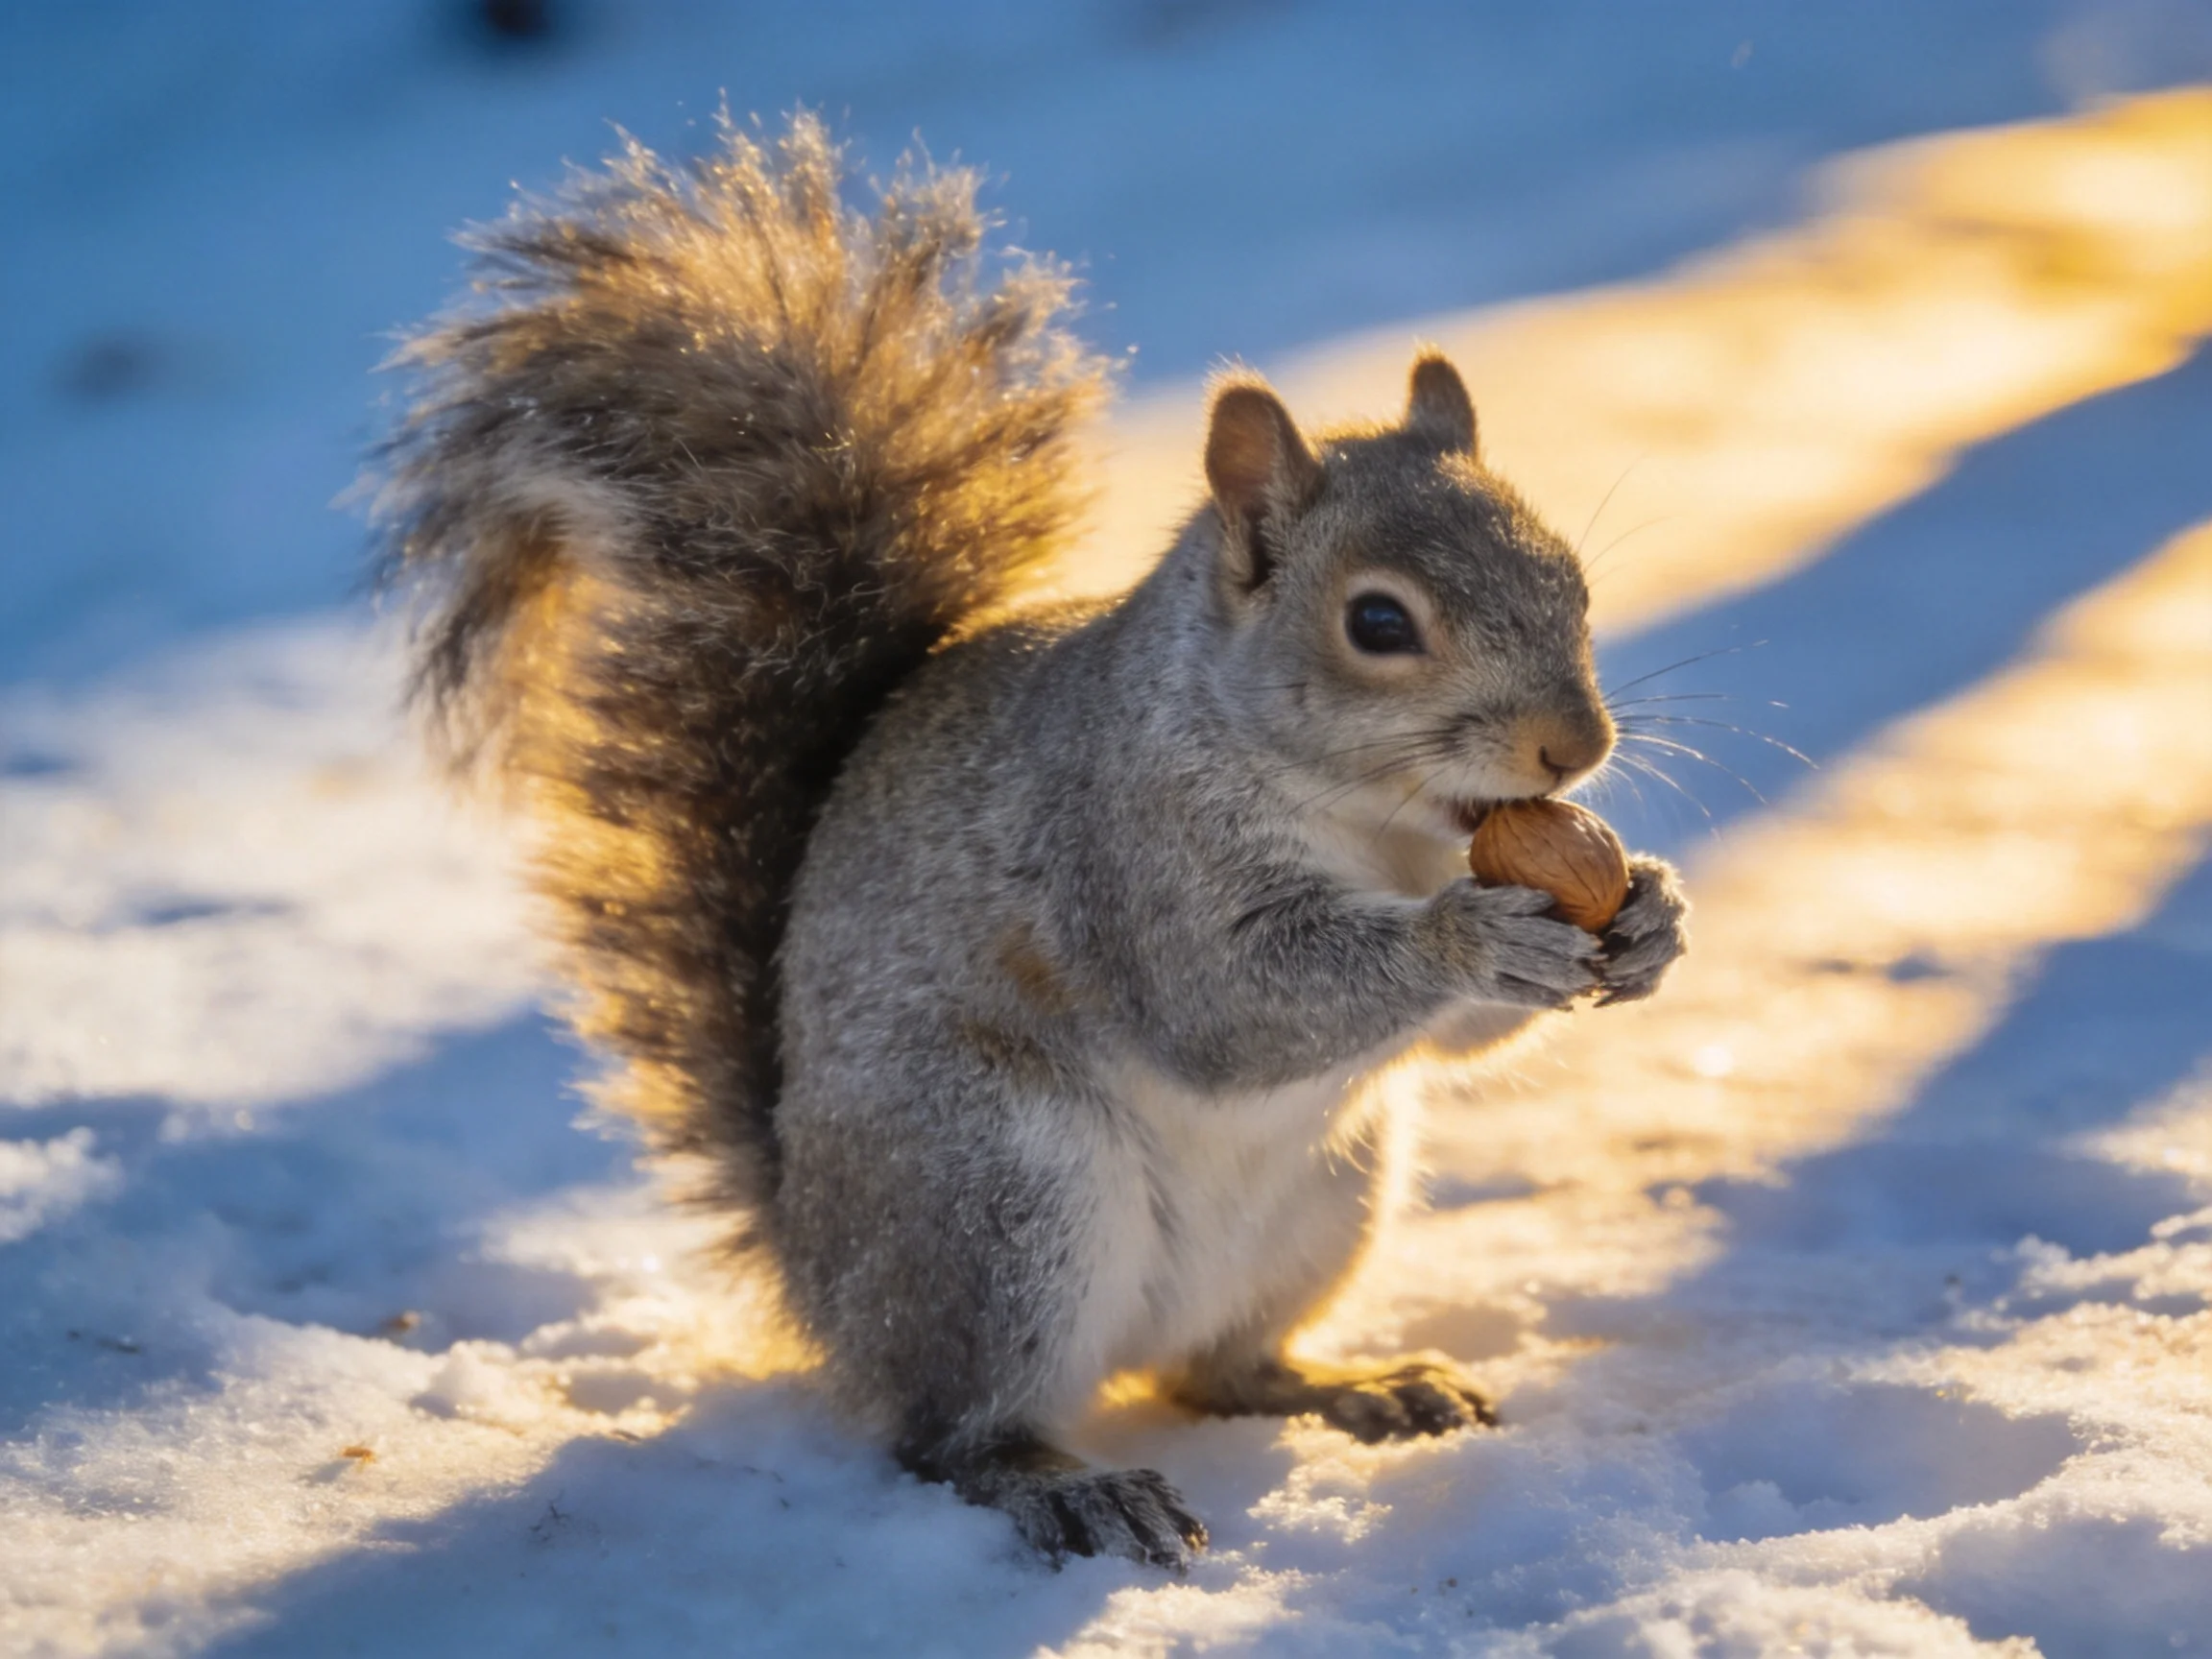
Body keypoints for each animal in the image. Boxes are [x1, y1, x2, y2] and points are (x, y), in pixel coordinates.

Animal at [374, 113, 1689, 1570]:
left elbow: (1459, 1036)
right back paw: (1064, 1484)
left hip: (1328, 1200)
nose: (1575, 747)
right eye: (1380, 623)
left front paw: (1648, 919)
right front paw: (1471, 939)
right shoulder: (1124, 852)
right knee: (949, 1435)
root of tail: (819, 1284)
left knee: (1221, 1371)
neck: (1378, 827)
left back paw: (1354, 1386)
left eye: (1571, 575)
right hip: (998, 1200)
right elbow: (1229, 1003)